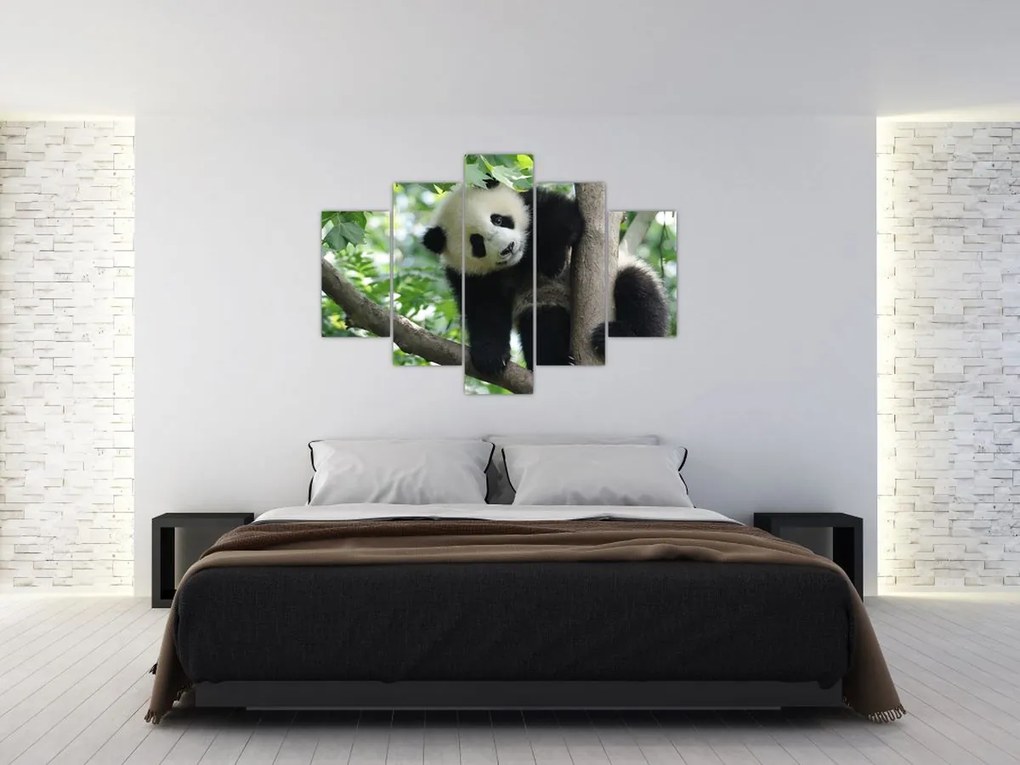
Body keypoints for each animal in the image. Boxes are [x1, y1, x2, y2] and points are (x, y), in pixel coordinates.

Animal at [422, 183, 669, 375]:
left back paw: (617, 335)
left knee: (638, 292)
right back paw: (557, 362)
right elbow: (484, 309)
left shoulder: (532, 202)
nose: (508, 248)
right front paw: (490, 356)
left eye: (498, 220)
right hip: (544, 302)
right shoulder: (469, 275)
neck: (519, 261)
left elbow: (563, 217)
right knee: (543, 326)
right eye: (477, 242)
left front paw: (552, 261)